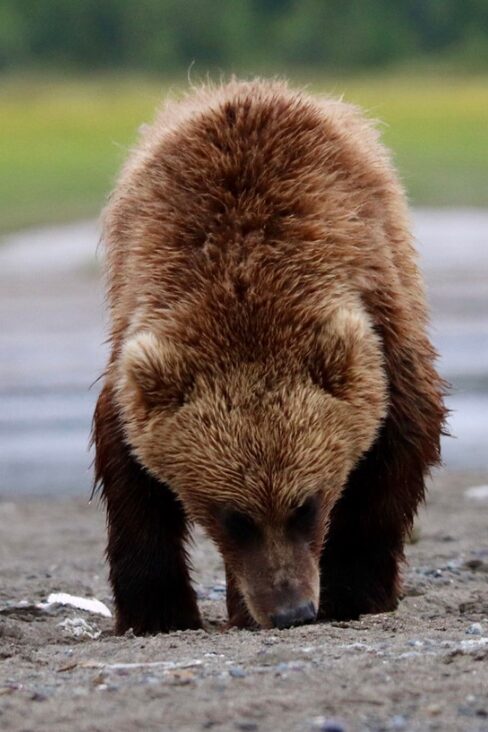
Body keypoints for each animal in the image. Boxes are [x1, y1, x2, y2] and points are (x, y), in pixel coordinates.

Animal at [92, 79, 446, 635]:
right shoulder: (137, 328)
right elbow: (128, 468)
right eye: (233, 517)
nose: (290, 611)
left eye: (306, 505)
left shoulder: (379, 311)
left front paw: (352, 592)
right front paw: (159, 611)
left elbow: (402, 439)